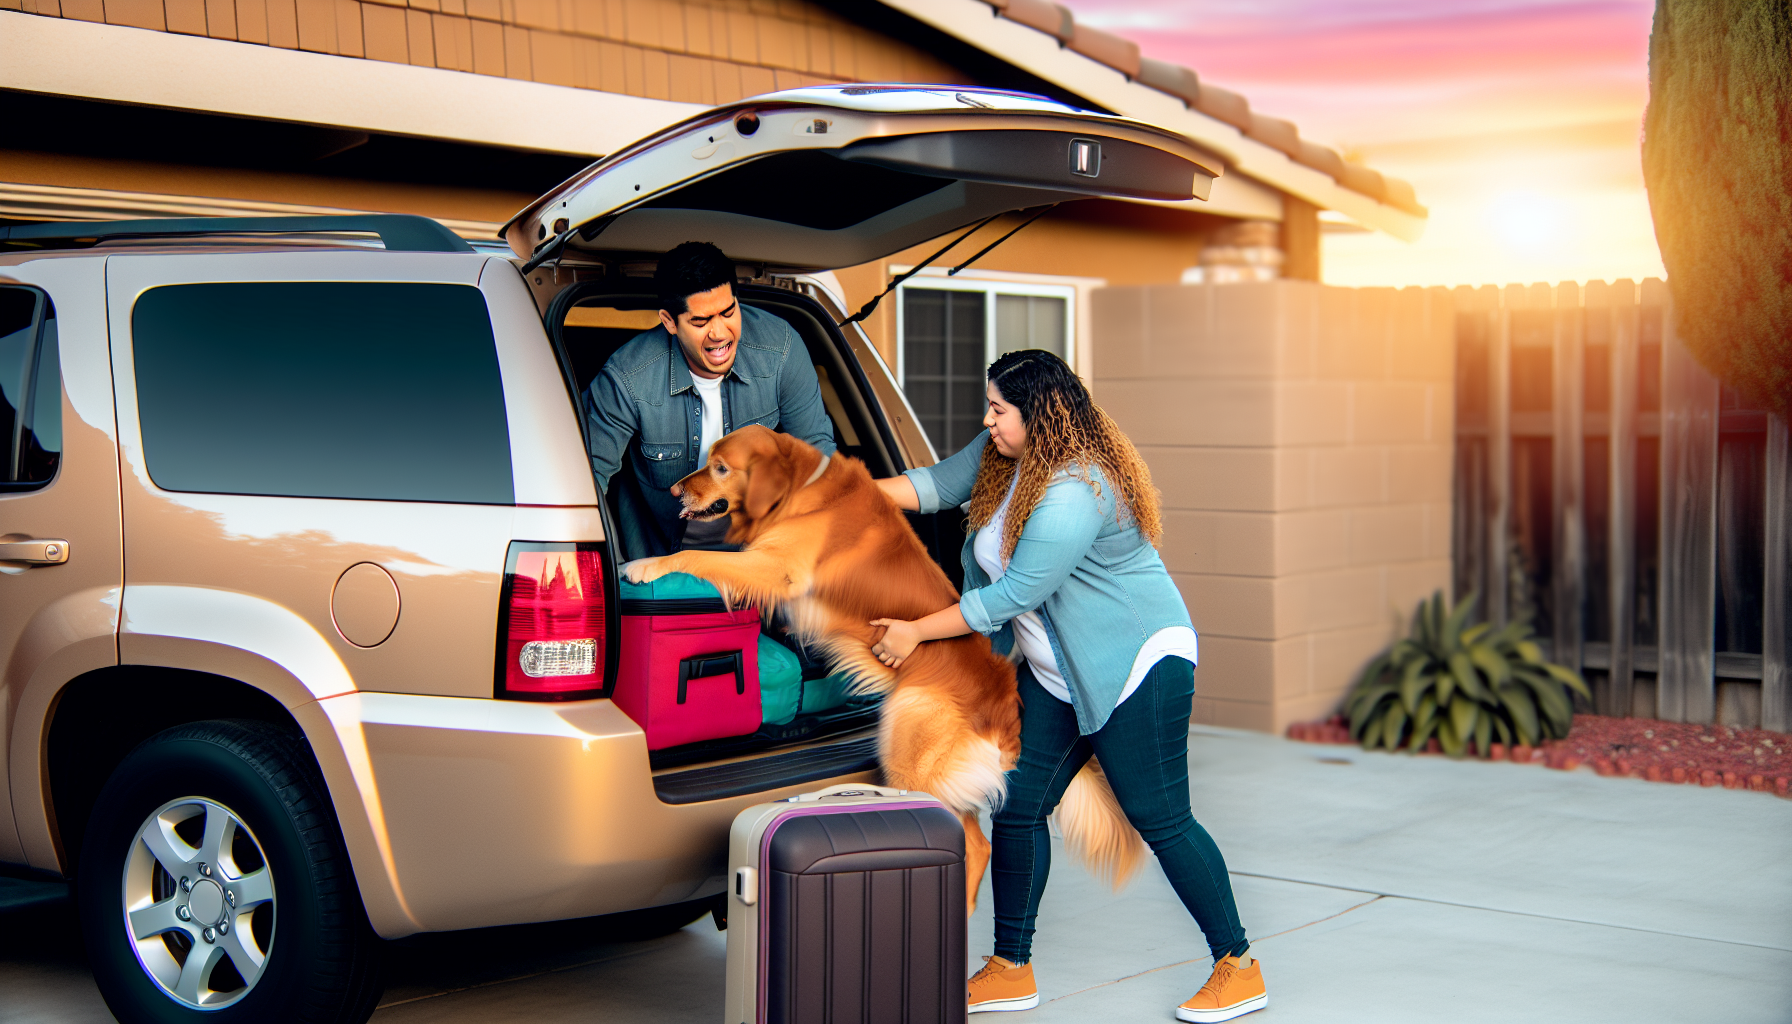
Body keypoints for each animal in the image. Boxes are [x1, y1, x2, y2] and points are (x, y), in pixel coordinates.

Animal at [623, 426, 1139, 914]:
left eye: (721, 467)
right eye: (707, 460)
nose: (674, 491)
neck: (798, 491)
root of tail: (1004, 706)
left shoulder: (778, 569)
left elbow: (699, 556)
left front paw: (644, 564)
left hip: (908, 751)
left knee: (966, 837)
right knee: (976, 842)